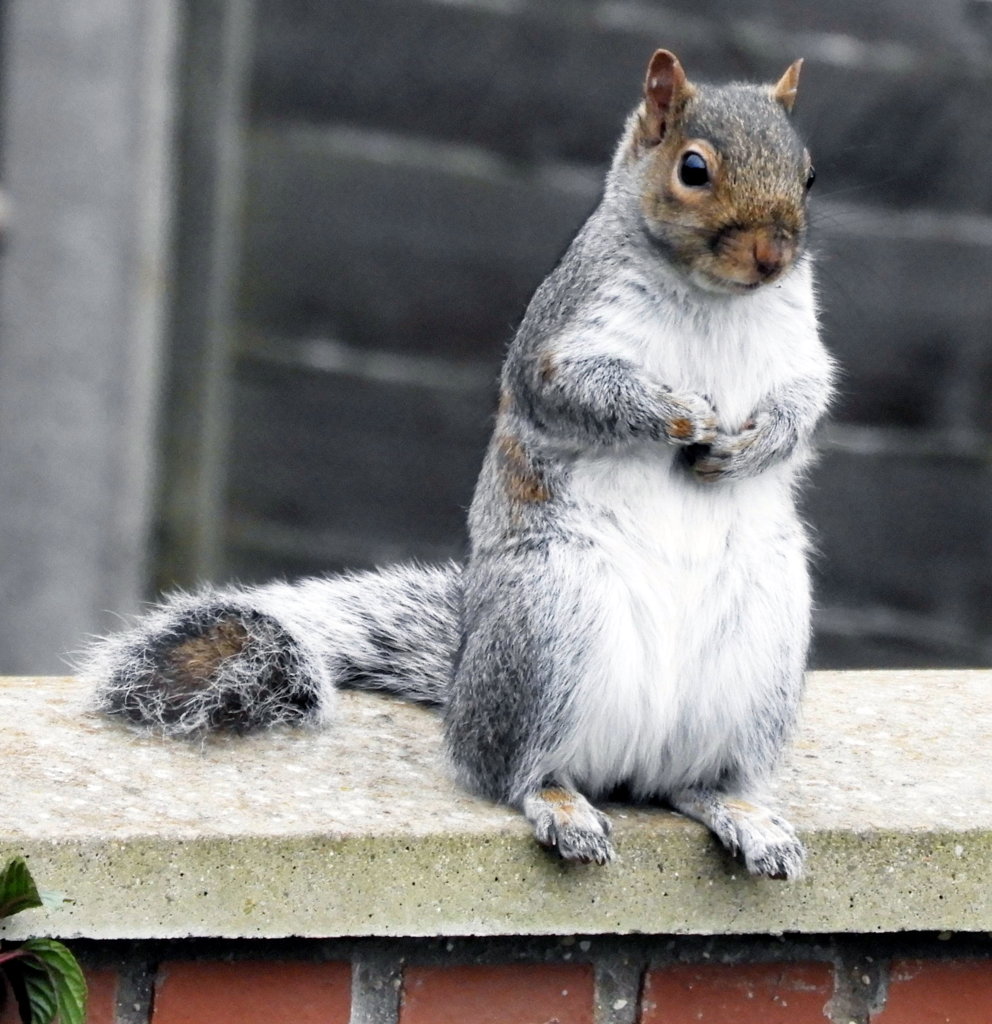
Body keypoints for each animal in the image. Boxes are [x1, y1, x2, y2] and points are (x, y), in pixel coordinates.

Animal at [84, 50, 834, 880]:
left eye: (808, 175)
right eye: (693, 169)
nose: (773, 257)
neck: (716, 299)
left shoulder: (801, 346)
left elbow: (807, 399)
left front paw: (755, 443)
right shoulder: (561, 338)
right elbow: (582, 393)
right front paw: (686, 415)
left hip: (760, 662)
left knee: (690, 784)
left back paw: (742, 814)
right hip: (549, 627)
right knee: (505, 771)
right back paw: (560, 804)